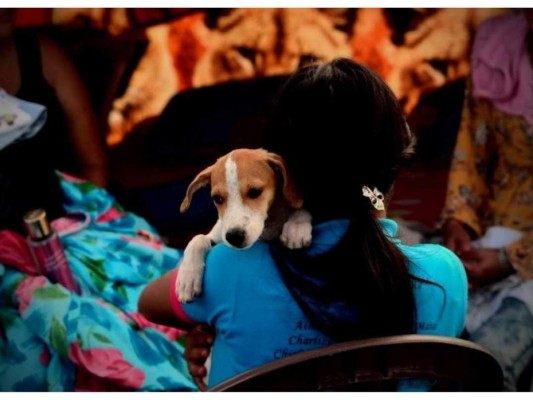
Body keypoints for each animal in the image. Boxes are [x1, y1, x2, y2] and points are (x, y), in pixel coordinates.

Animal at [177, 148, 310, 302]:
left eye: (255, 191)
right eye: (217, 198)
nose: (234, 237)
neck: (267, 225)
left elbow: (301, 209)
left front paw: (296, 227)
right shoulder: (219, 234)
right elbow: (197, 238)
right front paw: (187, 277)